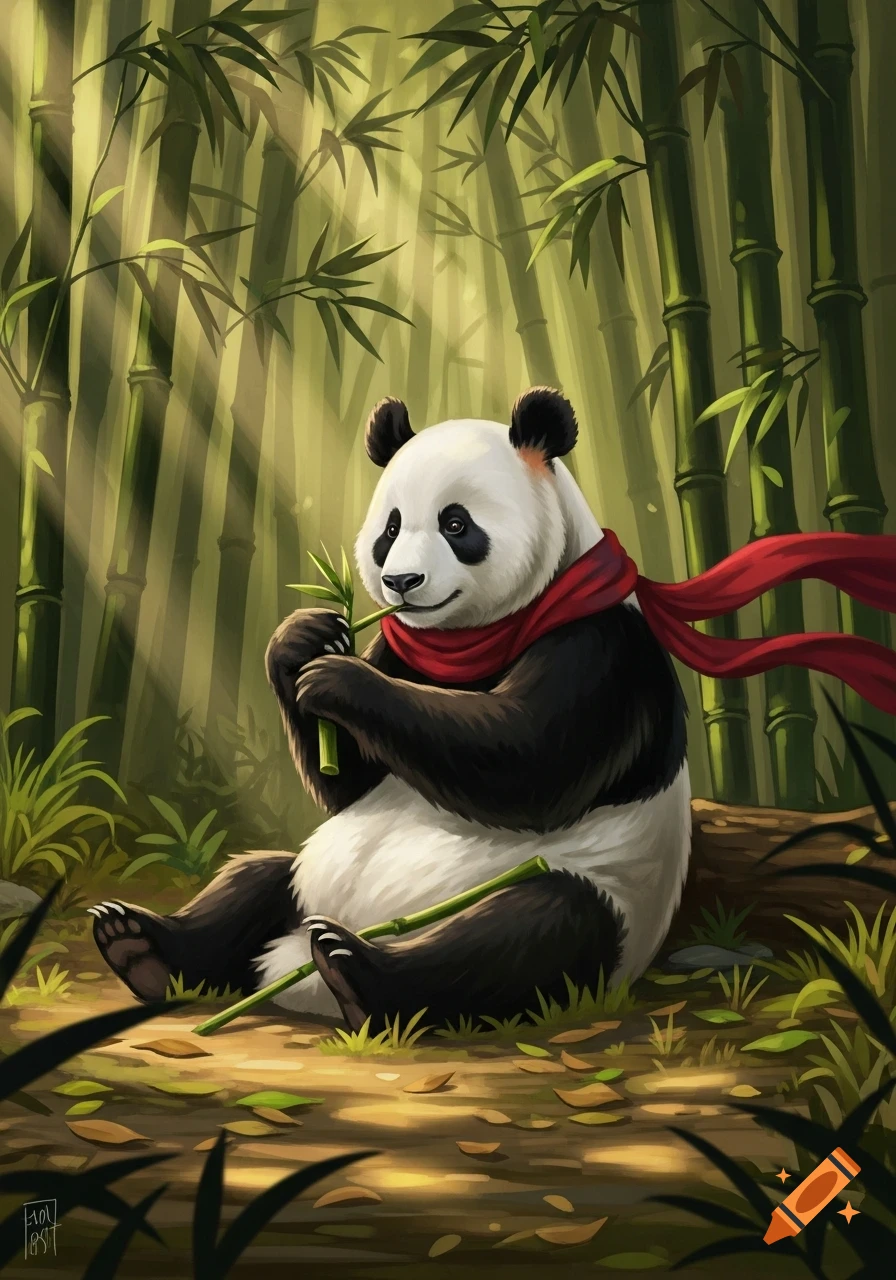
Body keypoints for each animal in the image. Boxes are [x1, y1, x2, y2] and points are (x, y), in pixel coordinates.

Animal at [91, 388, 690, 1031]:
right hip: (305, 880)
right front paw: (303, 640)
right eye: (391, 527)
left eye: (456, 523)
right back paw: (140, 945)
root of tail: (289, 974)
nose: (401, 580)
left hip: (595, 903)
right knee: (256, 877)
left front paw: (338, 679)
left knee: (530, 931)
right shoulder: (403, 650)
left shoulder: (602, 649)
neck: (470, 639)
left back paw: (357, 972)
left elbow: (532, 763)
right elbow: (350, 784)